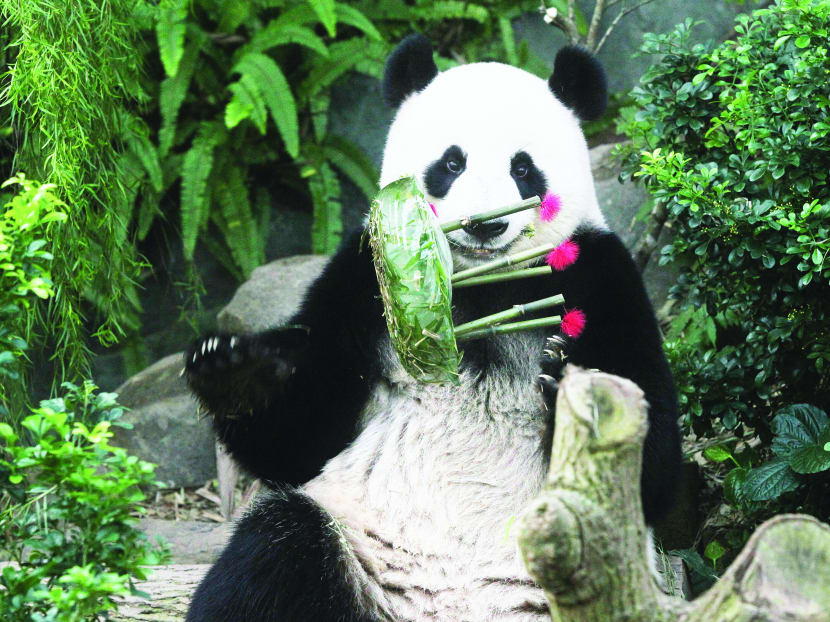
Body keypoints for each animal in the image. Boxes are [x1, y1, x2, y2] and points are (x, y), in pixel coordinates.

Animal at [184, 35, 681, 622]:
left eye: (523, 169)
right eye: (451, 162)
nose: (488, 224)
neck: (479, 284)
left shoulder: (601, 276)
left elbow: (655, 469)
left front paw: (567, 393)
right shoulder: (363, 282)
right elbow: (296, 439)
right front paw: (239, 373)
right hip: (354, 548)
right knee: (275, 551)